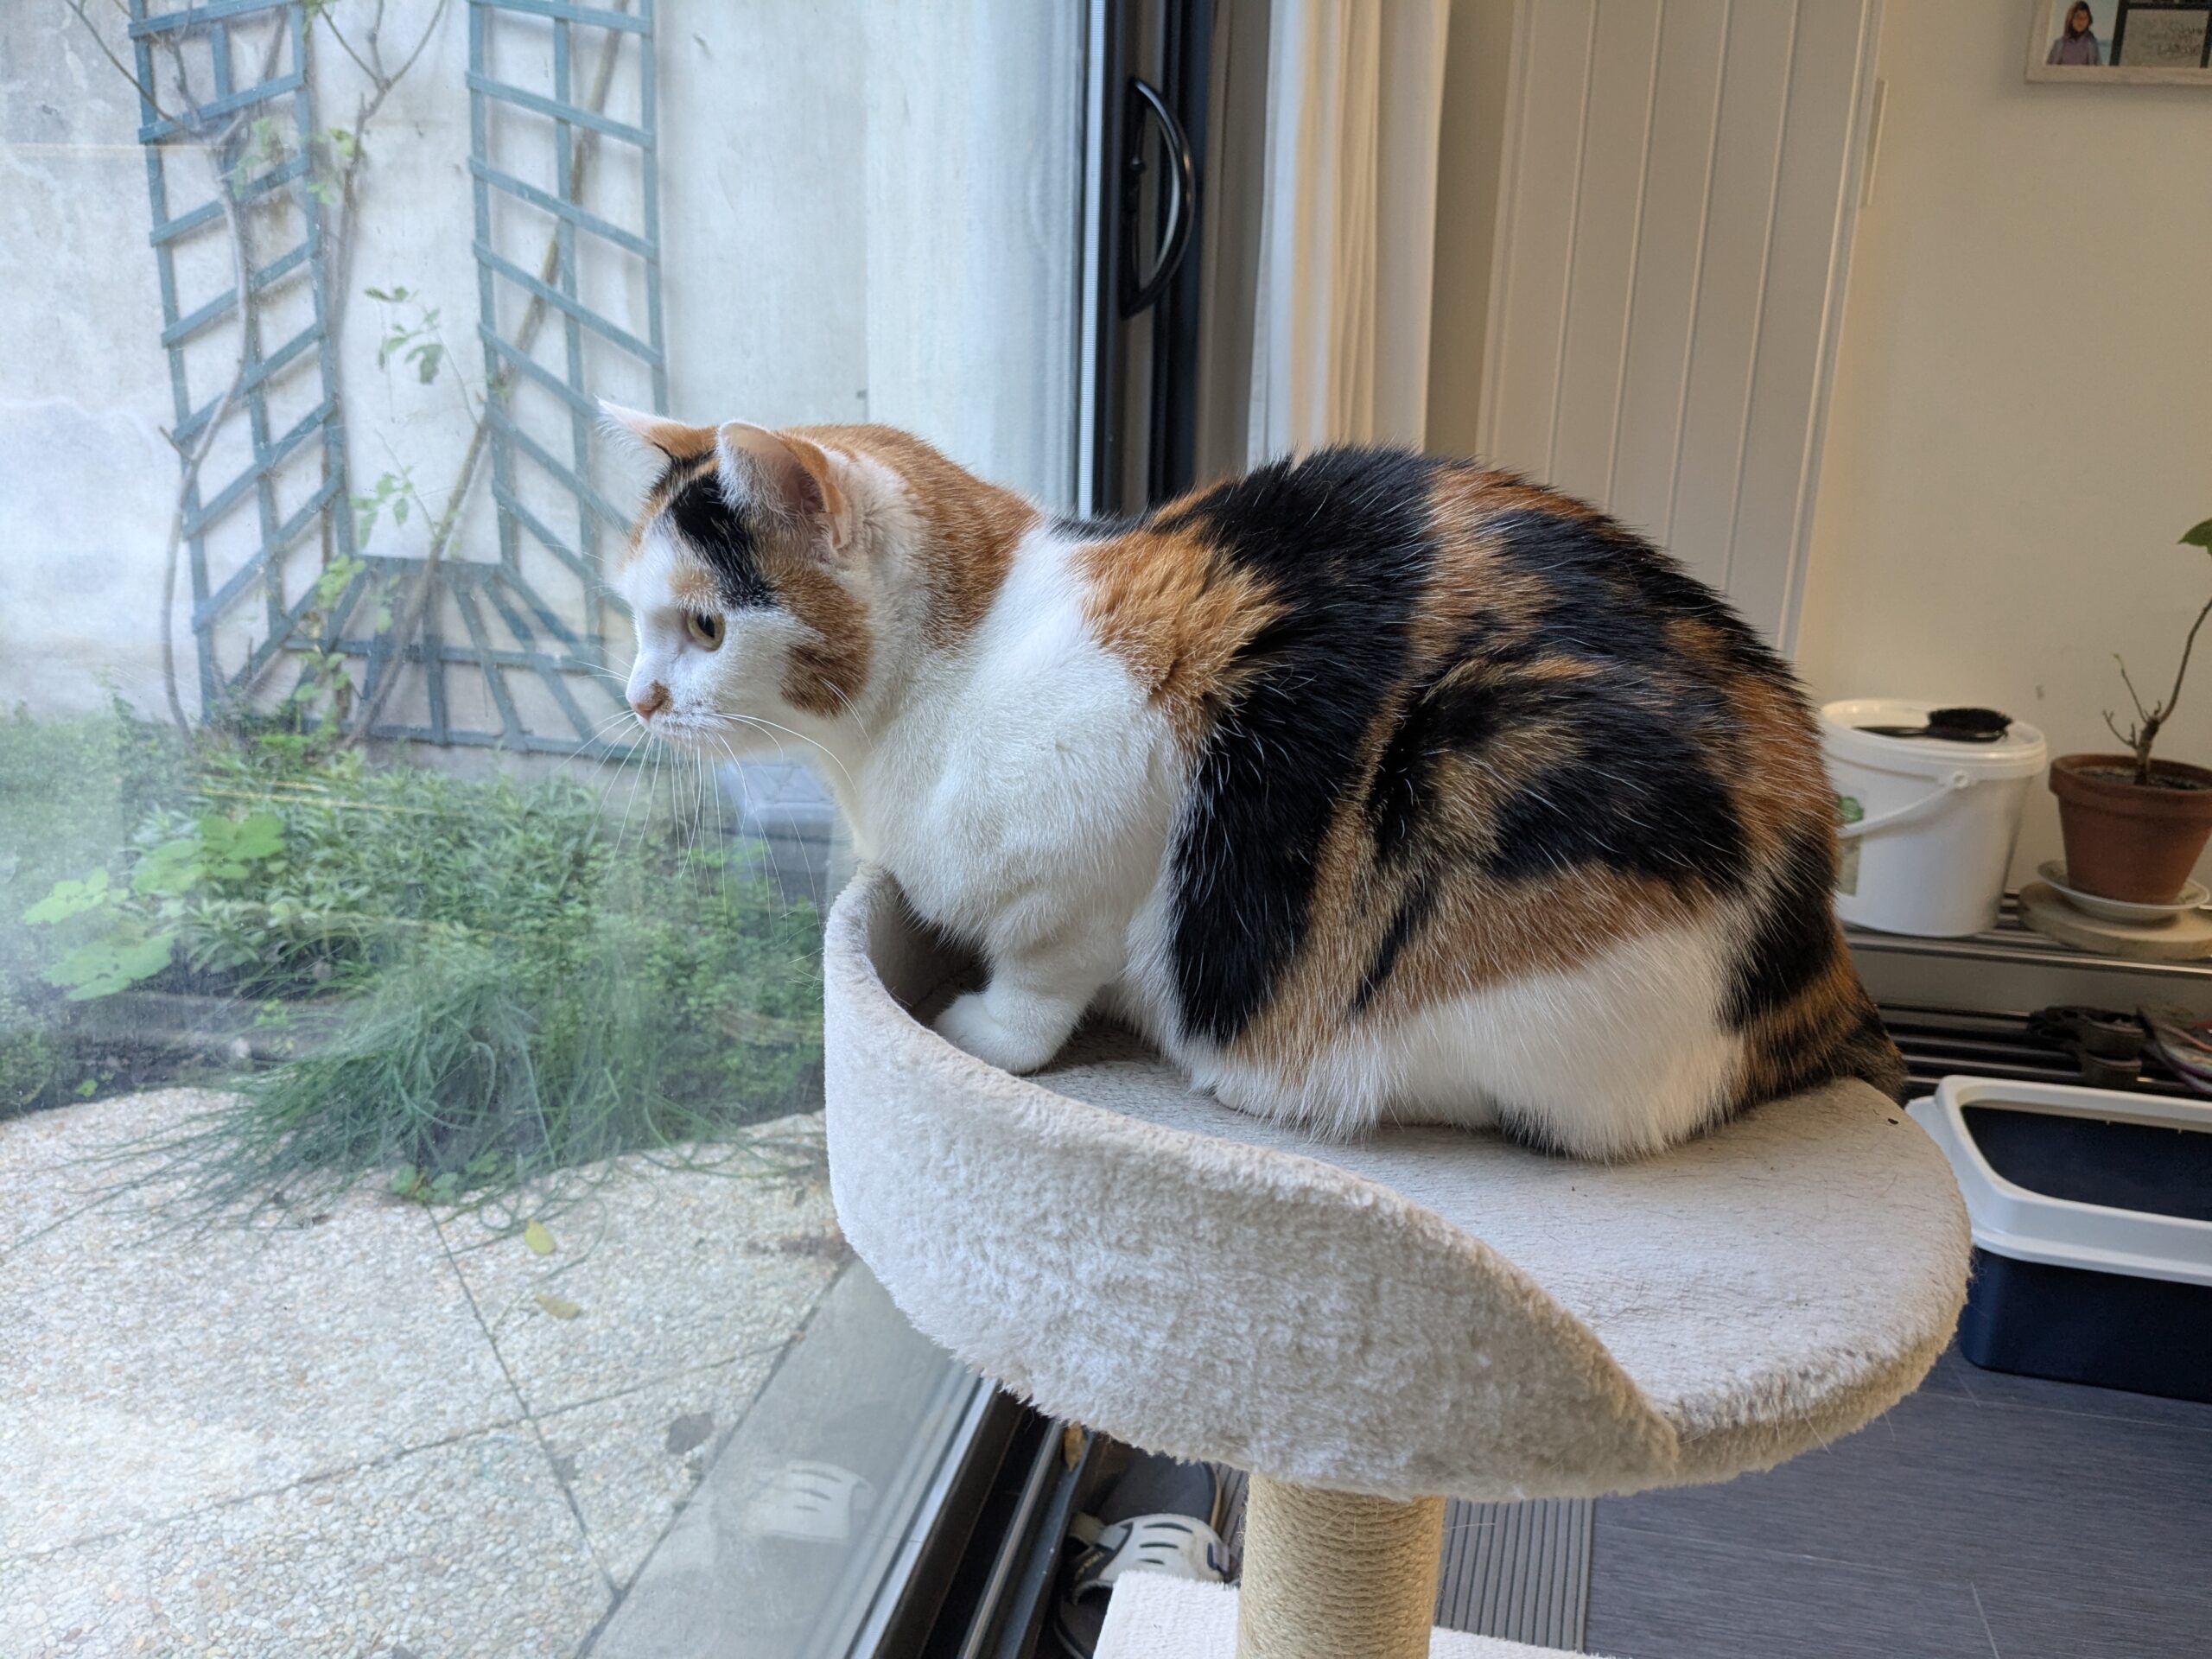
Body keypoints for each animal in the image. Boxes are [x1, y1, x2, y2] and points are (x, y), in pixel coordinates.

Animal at [603, 405, 1905, 1160]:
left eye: (706, 626)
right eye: (634, 619)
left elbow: (1034, 993)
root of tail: (1821, 943)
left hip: (1508, 815)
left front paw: (974, 1031)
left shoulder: (1086, 867)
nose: (638, 697)